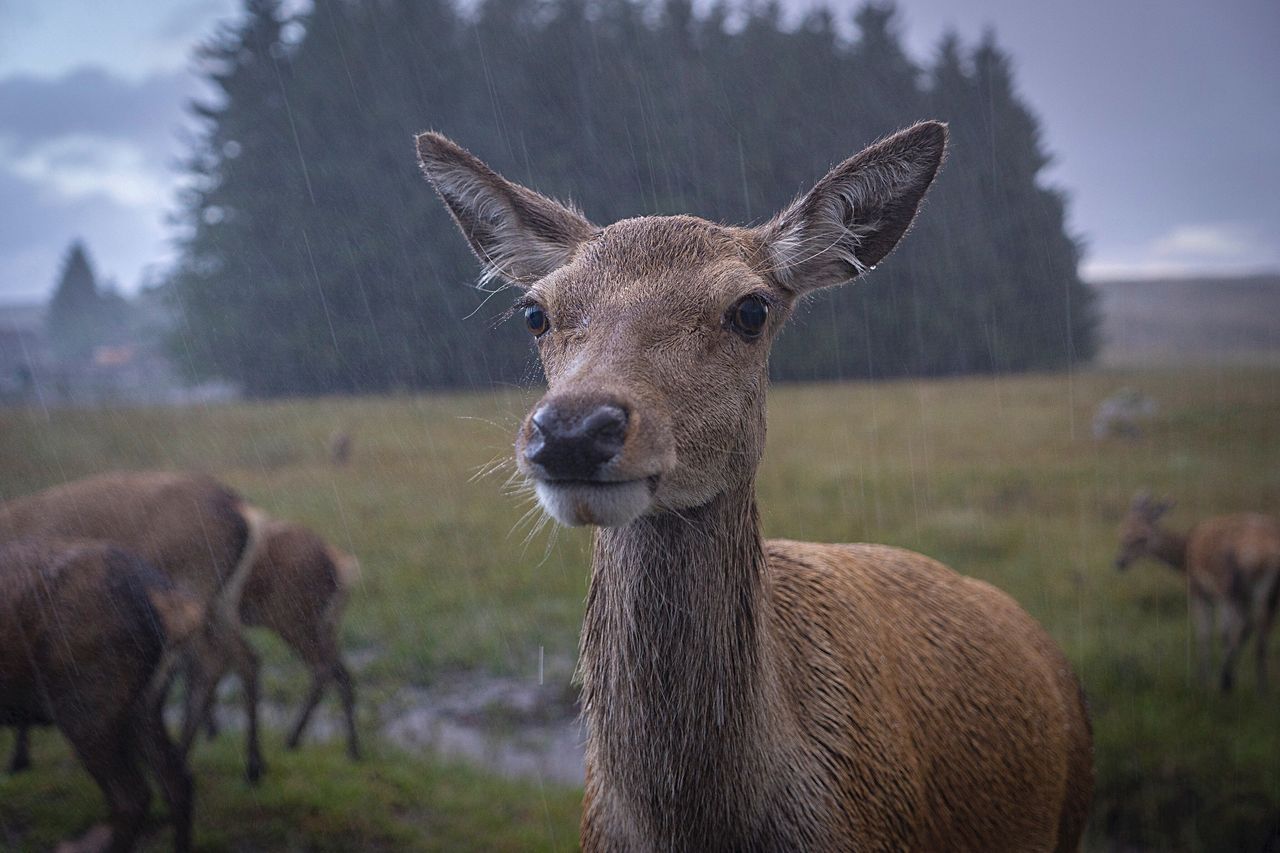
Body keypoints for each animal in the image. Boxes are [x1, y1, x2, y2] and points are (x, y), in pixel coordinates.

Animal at [0, 468, 270, 778]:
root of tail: (243, 511)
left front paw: (19, 758)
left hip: (192, 581)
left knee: (207, 662)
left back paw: (184, 756)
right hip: (223, 598)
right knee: (245, 657)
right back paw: (252, 764)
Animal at [1111, 491, 1280, 691]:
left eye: (1142, 537)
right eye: (1122, 531)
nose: (1120, 562)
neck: (1183, 556)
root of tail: (1267, 556)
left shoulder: (1198, 589)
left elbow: (1205, 632)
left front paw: (1202, 680)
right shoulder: (1236, 595)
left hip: (1228, 585)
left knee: (1238, 629)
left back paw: (1227, 681)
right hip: (1265, 591)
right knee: (1260, 630)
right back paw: (1258, 687)